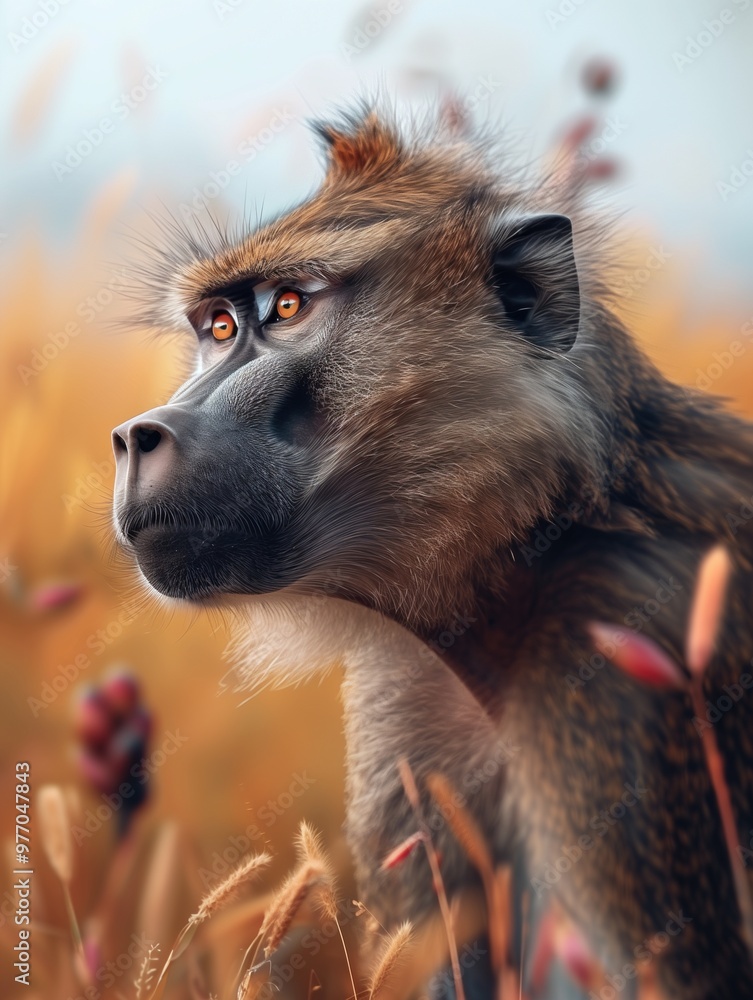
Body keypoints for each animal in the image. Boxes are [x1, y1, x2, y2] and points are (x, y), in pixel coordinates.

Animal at [111, 108, 753, 999]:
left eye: (286, 306)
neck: (533, 547)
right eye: (219, 327)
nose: (136, 435)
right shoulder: (414, 696)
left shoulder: (624, 660)